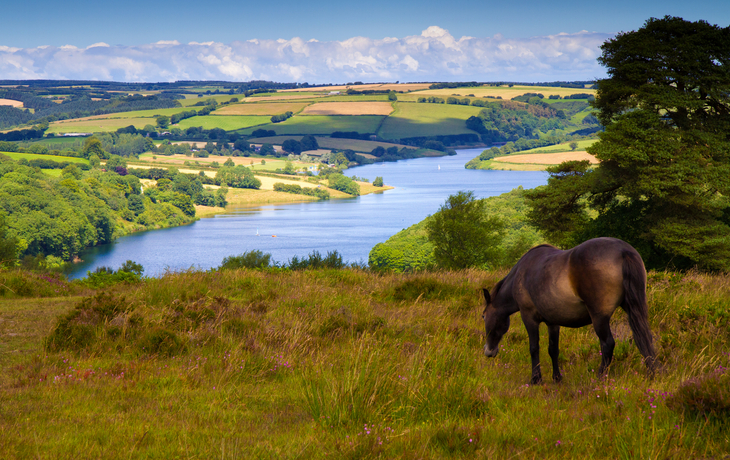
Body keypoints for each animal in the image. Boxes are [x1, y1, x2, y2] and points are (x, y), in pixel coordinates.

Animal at [484, 237, 656, 384]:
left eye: (483, 316)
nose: (488, 351)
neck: (521, 273)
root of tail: (623, 251)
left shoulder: (529, 318)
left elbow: (534, 348)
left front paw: (536, 379)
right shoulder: (553, 322)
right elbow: (553, 349)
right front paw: (557, 378)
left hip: (599, 318)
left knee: (607, 344)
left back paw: (600, 377)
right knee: (644, 338)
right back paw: (652, 373)